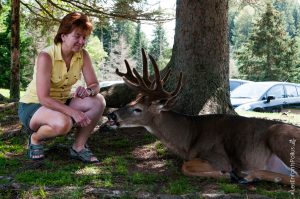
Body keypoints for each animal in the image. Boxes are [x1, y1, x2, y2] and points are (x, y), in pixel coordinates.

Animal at [108, 49, 300, 186]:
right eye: (131, 100)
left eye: (138, 109)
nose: (111, 114)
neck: (188, 138)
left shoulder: (218, 157)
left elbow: (185, 166)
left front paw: (226, 175)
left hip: (281, 137)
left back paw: (249, 175)